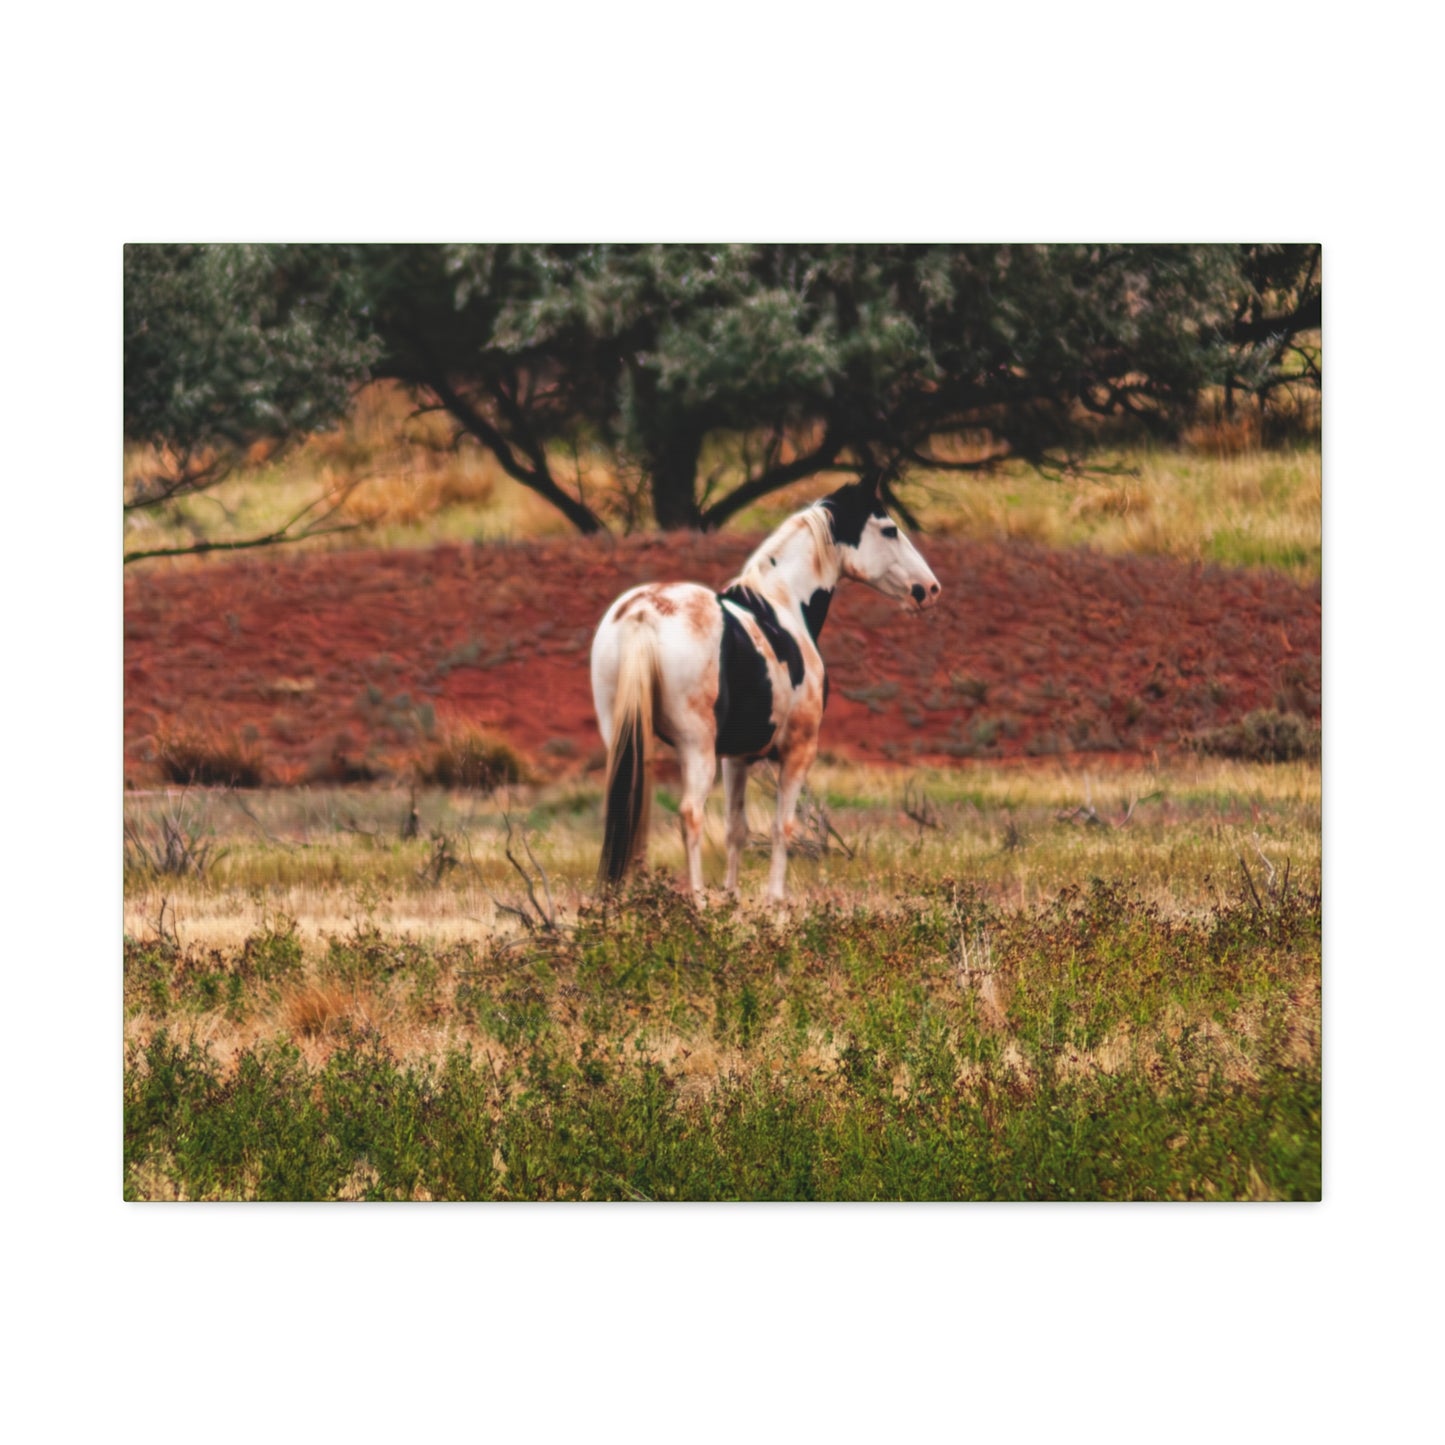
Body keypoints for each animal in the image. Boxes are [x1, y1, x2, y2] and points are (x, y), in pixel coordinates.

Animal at [590, 475, 942, 903]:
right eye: (889, 529)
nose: (929, 589)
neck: (781, 605)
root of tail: (643, 613)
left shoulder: (736, 757)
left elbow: (735, 829)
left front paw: (732, 897)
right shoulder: (797, 751)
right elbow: (782, 826)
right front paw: (774, 899)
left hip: (626, 736)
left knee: (629, 807)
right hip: (695, 747)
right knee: (690, 813)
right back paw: (698, 900)